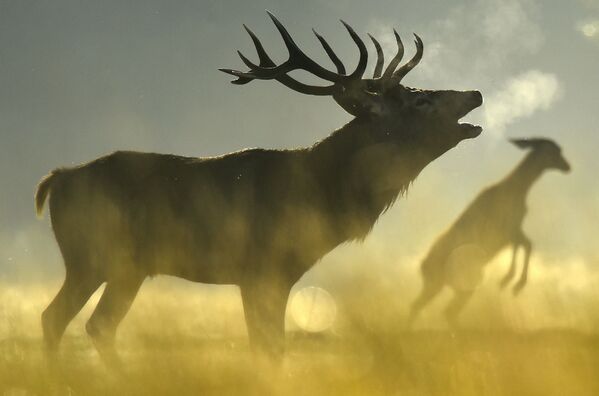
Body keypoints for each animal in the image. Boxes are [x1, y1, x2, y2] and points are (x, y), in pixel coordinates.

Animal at [35, 11, 482, 358]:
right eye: (419, 101)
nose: (475, 93)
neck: (320, 194)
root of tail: (56, 180)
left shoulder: (270, 276)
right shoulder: (262, 270)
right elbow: (269, 349)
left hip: (129, 267)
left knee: (97, 325)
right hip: (89, 255)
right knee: (54, 318)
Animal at [408, 138, 572, 330]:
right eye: (554, 151)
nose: (568, 166)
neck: (518, 190)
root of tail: (423, 266)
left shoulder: (514, 230)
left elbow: (525, 244)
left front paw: (511, 281)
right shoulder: (508, 230)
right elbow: (526, 245)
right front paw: (512, 282)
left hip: (447, 285)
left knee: (435, 309)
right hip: (453, 283)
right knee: (438, 309)